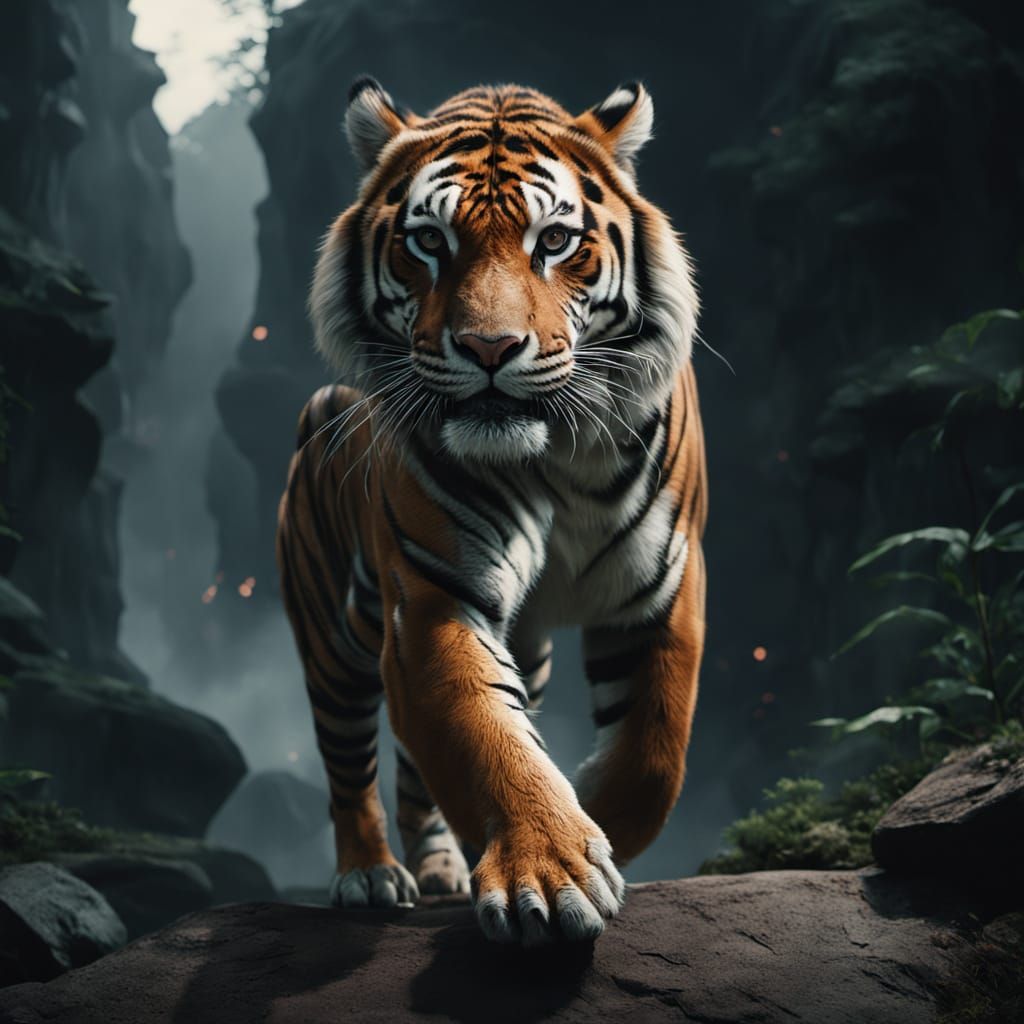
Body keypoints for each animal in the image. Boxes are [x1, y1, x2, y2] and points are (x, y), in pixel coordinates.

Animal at [276, 77, 707, 946]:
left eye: (555, 240)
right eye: (429, 242)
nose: (489, 349)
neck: (558, 454)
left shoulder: (662, 586)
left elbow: (654, 751)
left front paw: (592, 822)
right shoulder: (433, 599)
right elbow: (484, 737)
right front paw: (552, 873)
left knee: (415, 774)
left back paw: (444, 867)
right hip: (332, 639)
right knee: (348, 764)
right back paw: (371, 875)